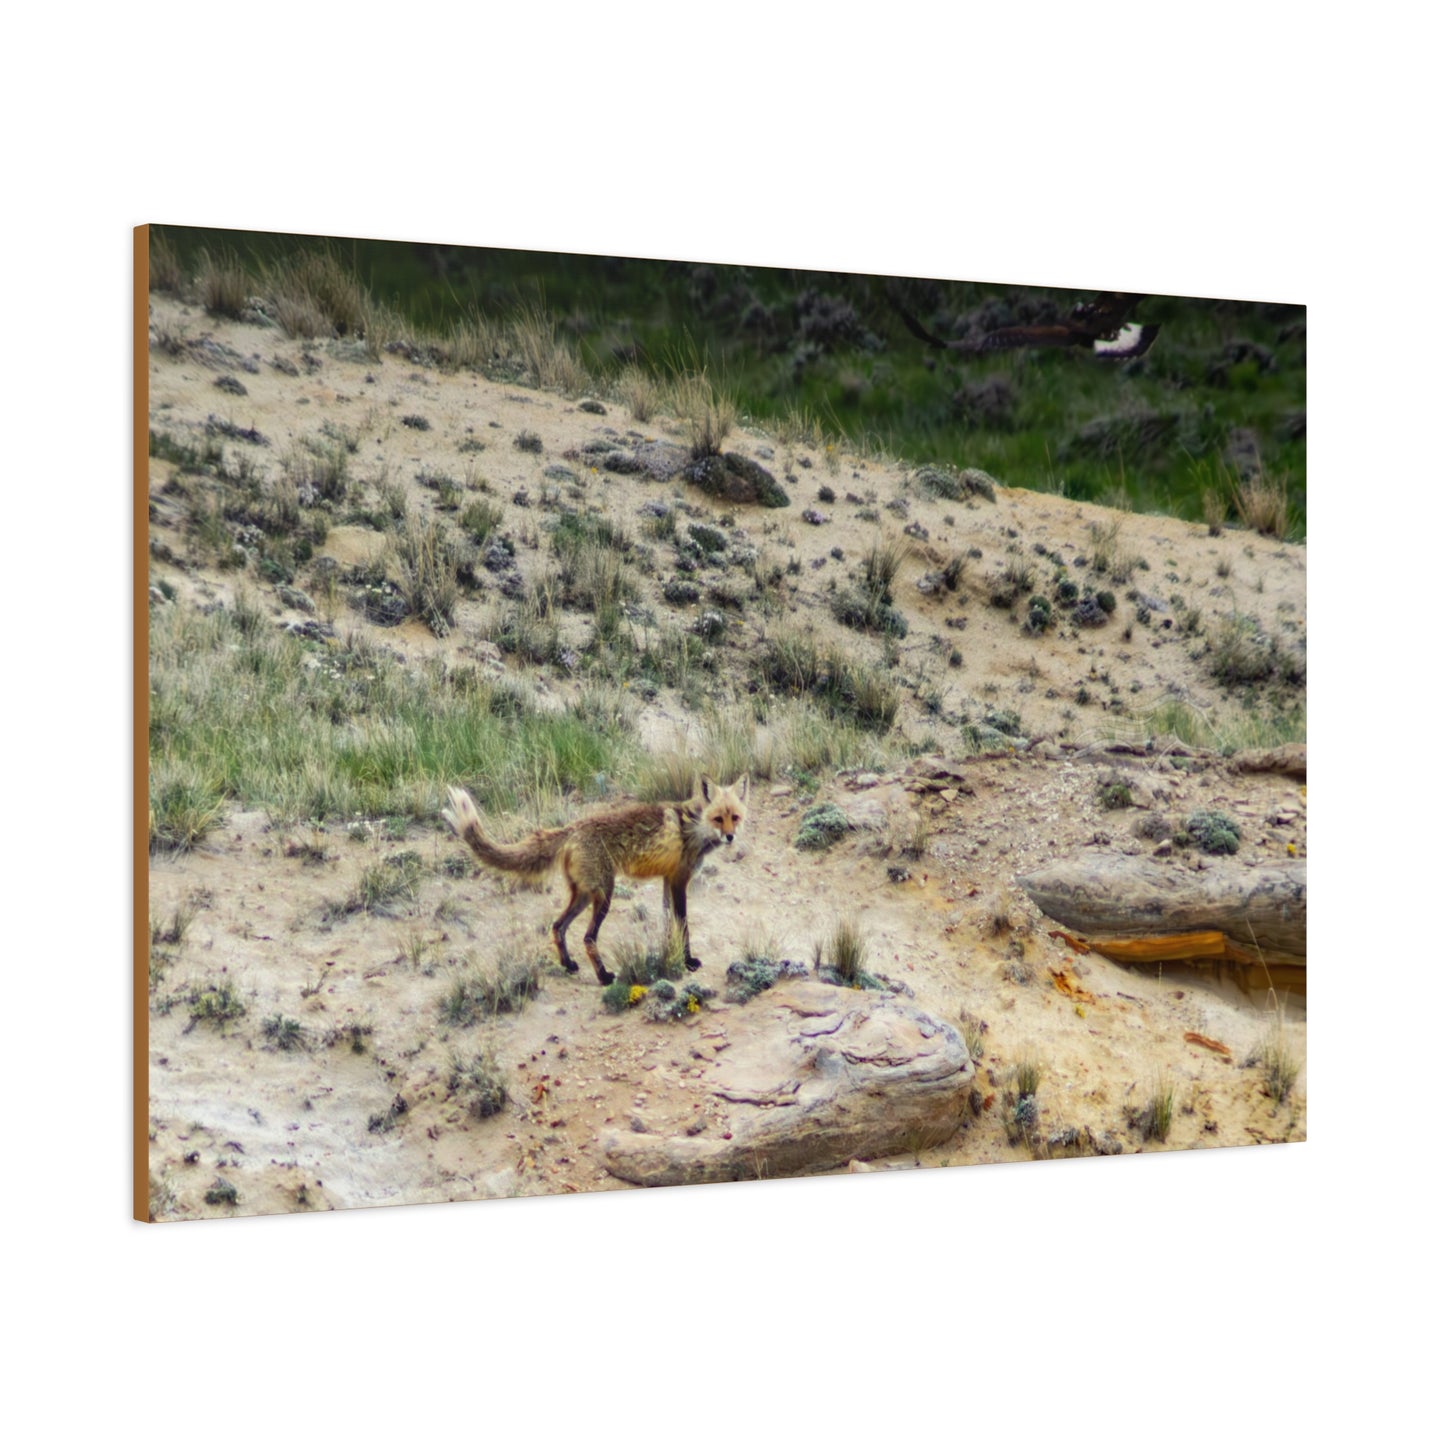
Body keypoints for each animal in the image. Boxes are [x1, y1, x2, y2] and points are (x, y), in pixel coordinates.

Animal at [442, 775, 749, 985]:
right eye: (718, 818)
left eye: (734, 817)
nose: (730, 837)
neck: (694, 826)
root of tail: (572, 828)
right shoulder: (678, 880)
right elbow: (683, 925)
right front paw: (687, 961)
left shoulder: (667, 879)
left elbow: (667, 924)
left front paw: (667, 956)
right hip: (604, 895)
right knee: (588, 938)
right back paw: (603, 977)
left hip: (584, 895)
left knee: (558, 926)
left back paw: (568, 965)